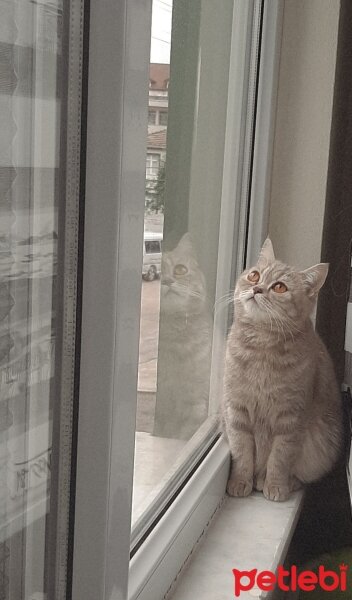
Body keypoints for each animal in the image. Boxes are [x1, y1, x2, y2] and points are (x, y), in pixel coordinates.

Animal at [223, 239, 344, 502]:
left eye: (279, 287)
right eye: (254, 275)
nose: (257, 289)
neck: (261, 350)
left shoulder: (291, 419)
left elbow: (279, 457)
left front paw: (276, 485)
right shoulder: (236, 410)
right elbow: (241, 451)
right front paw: (239, 481)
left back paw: (276, 482)